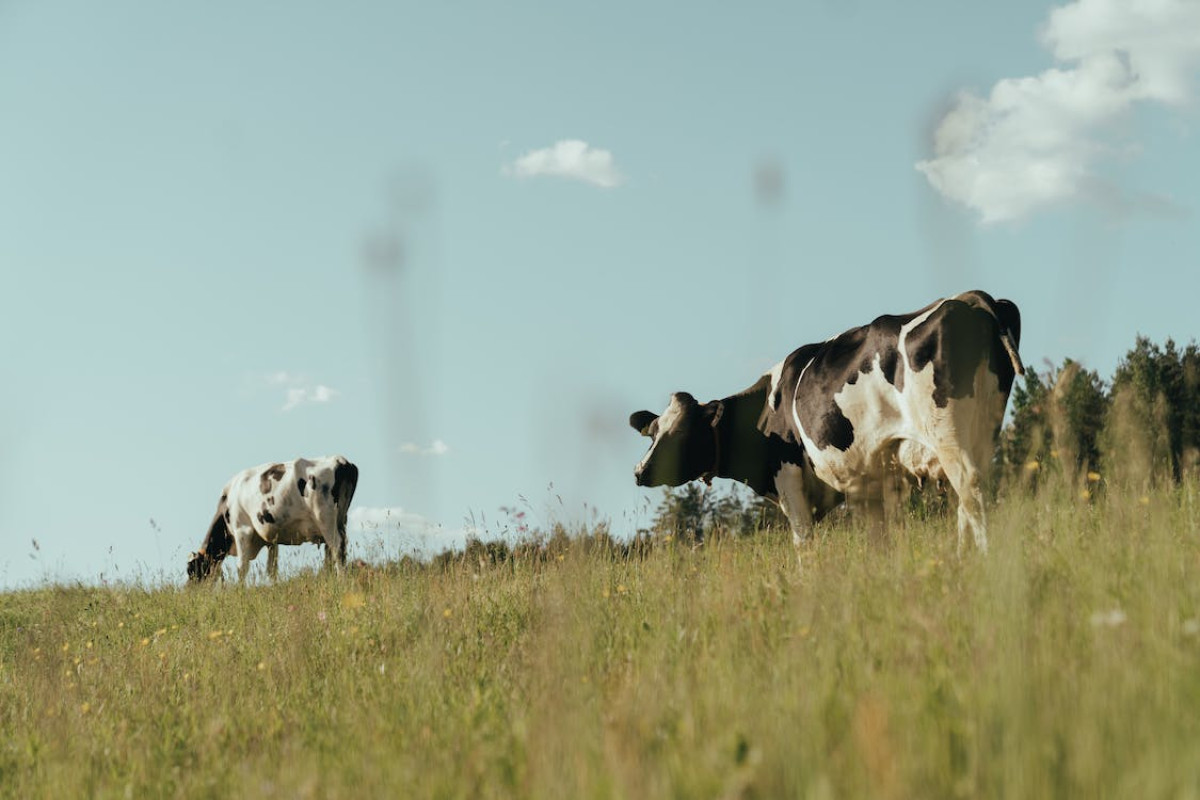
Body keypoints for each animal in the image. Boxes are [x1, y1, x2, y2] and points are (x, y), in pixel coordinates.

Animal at [184, 455, 357, 582]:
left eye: (192, 570)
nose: (190, 591)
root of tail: (341, 460)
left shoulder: (242, 530)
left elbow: (242, 567)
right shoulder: (271, 540)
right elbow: (272, 569)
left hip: (325, 519)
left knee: (337, 548)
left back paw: (341, 581)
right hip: (340, 520)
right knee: (335, 552)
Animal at [628, 291, 1022, 554]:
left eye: (680, 433)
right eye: (652, 433)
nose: (639, 471)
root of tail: (972, 299)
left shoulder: (788, 478)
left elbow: (804, 542)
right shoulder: (870, 483)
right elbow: (879, 540)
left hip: (948, 434)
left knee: (970, 489)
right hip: (983, 429)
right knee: (970, 496)